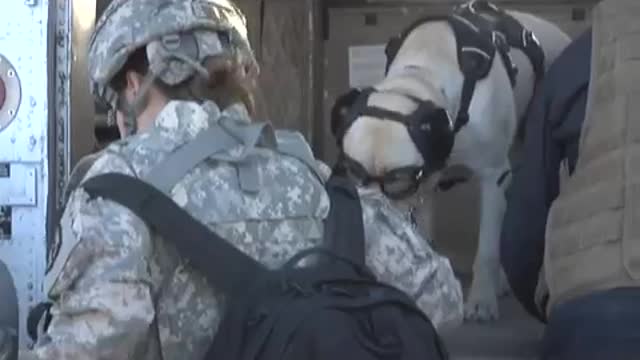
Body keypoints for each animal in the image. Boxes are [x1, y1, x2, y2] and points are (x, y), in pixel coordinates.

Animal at [330, 0, 568, 320]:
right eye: (353, 172)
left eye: (398, 181)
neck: (422, 75)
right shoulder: (428, 185)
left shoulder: (493, 177)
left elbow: (487, 249)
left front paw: (481, 300)